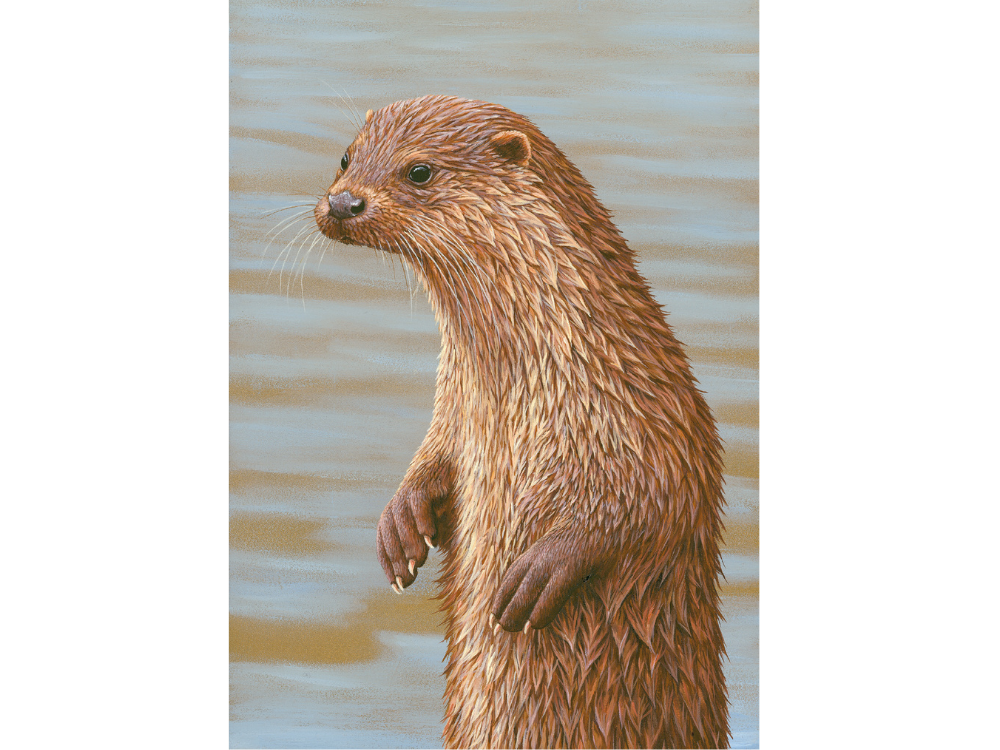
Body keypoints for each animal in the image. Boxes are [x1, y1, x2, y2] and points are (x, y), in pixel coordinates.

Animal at [315, 95, 729, 749]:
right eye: (346, 157)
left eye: (420, 171)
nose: (343, 202)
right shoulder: (453, 411)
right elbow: (434, 458)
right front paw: (401, 524)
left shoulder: (657, 422)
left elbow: (648, 502)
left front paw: (539, 571)